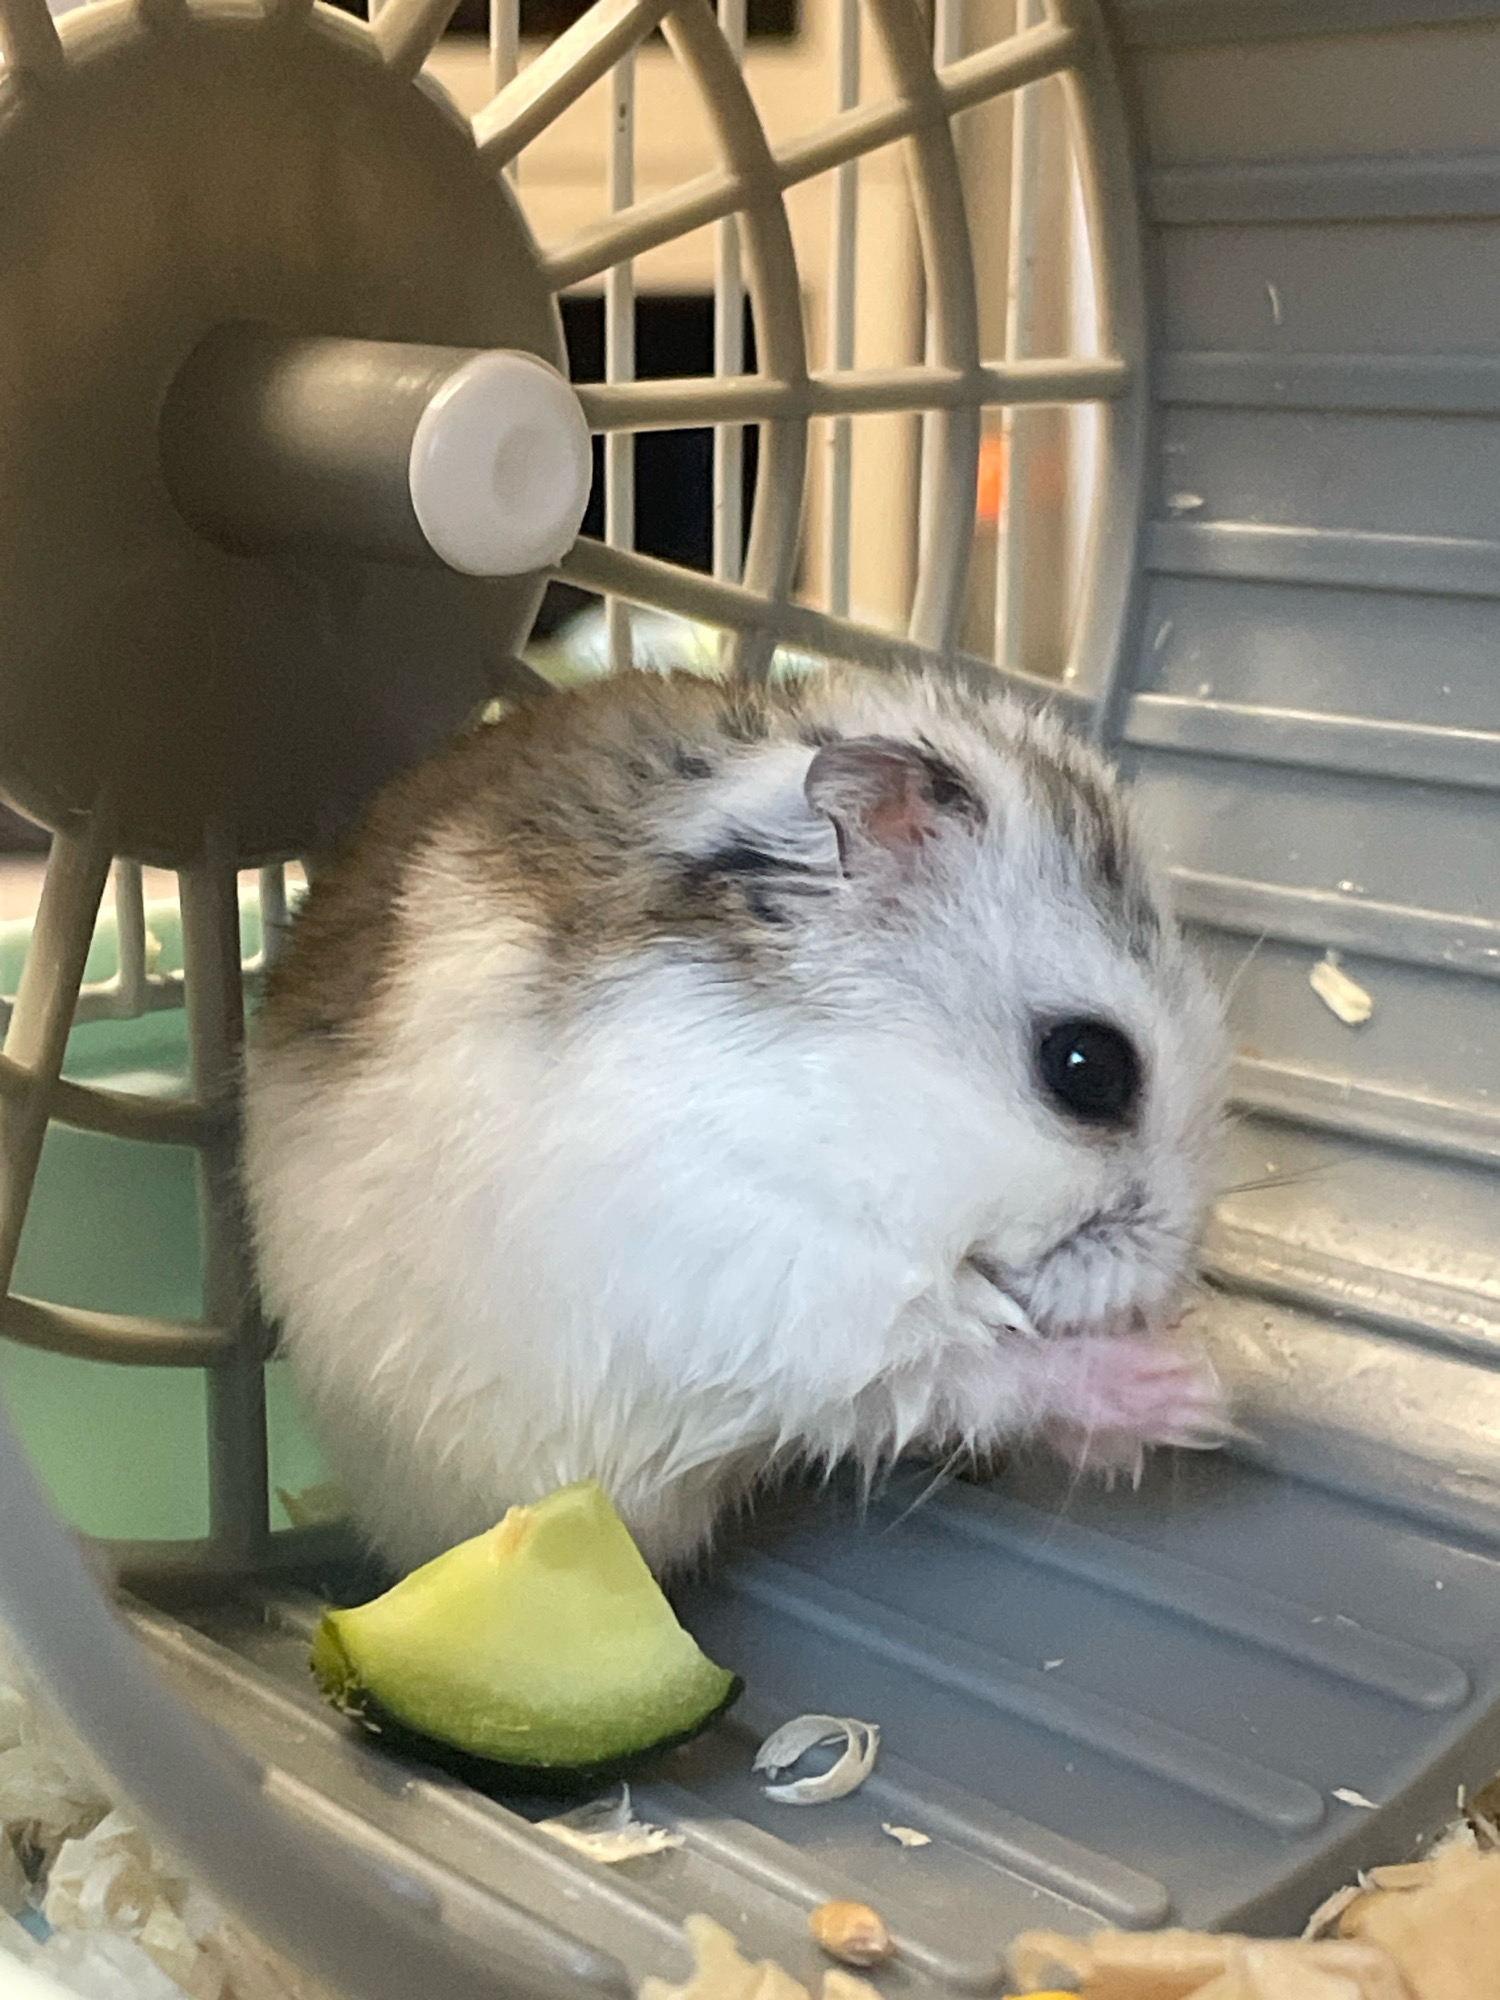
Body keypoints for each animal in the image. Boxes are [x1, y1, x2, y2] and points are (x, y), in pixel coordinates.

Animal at [242, 665, 1227, 1574]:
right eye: (1087, 1067)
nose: (1176, 1280)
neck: (838, 1112)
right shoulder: (796, 1304)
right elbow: (974, 1368)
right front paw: (1192, 1396)